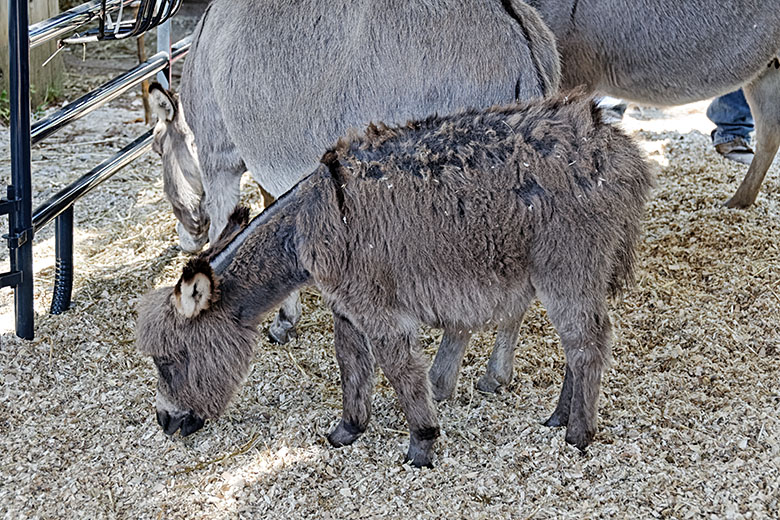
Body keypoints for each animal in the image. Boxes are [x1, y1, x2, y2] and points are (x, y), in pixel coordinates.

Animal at [136, 92, 652, 468]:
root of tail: (620, 150)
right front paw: (347, 430)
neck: (306, 226)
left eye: (170, 360)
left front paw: (421, 444)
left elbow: (400, 370)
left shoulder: (379, 309)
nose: (163, 422)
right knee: (577, 344)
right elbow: (351, 363)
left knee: (587, 343)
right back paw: (558, 417)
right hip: (568, 274)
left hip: (568, 267)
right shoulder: (347, 306)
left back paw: (578, 434)